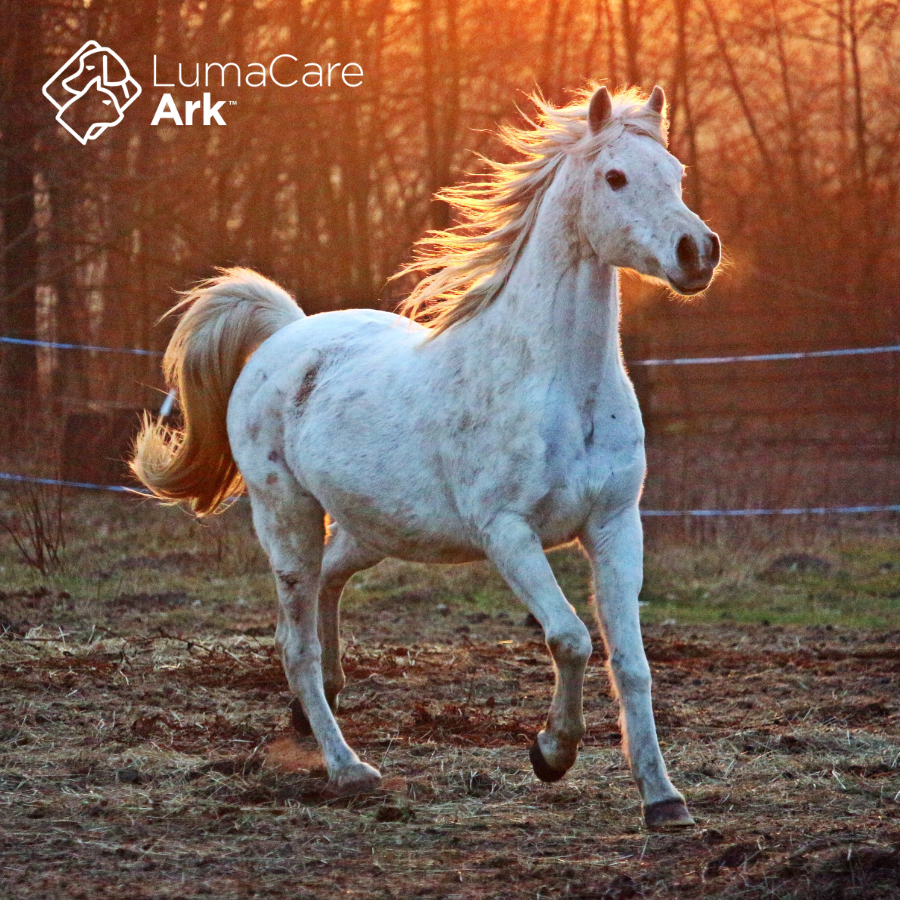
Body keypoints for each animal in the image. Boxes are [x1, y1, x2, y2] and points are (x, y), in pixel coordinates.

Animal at [132, 86, 716, 828]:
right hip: (287, 518)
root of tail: (287, 335)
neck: (559, 385)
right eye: (614, 177)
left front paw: (663, 799)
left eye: (675, 173)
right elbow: (571, 639)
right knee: (295, 642)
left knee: (327, 589)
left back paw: (313, 710)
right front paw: (551, 754)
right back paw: (348, 767)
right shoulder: (508, 534)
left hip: (373, 528)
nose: (697, 252)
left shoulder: (615, 525)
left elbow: (632, 664)